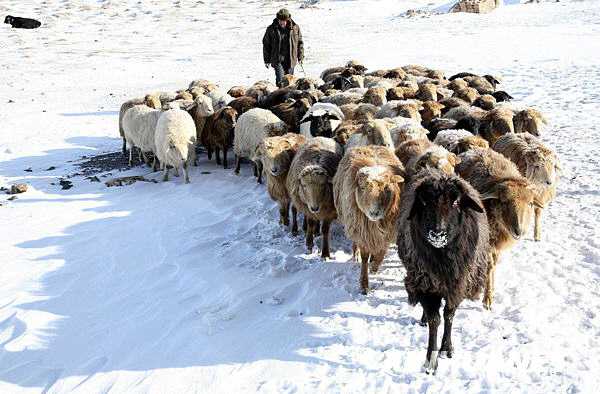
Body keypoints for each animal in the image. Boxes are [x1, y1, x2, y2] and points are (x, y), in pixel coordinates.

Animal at [396, 169, 490, 372]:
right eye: (424, 202)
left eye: (455, 202)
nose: (437, 233)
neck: (444, 259)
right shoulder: (425, 283)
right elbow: (435, 320)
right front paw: (430, 360)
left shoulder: (459, 284)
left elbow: (449, 315)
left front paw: (446, 348)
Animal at [454, 148, 540, 310]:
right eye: (504, 202)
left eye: (530, 203)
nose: (519, 231)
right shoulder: (487, 243)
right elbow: (488, 266)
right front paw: (486, 298)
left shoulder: (496, 245)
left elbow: (492, 266)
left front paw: (490, 292)